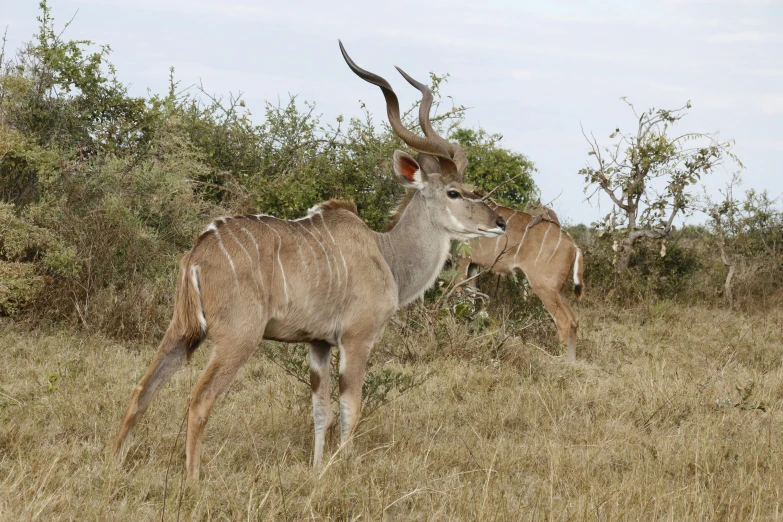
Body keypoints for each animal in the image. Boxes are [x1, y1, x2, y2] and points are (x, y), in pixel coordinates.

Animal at [113, 42, 506, 478]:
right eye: (454, 192)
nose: (500, 222)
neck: (385, 253)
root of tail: (198, 253)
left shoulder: (318, 344)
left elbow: (320, 409)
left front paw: (318, 469)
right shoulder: (356, 338)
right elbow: (351, 407)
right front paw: (344, 468)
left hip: (182, 332)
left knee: (141, 389)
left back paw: (113, 465)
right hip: (237, 338)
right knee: (199, 400)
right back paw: (193, 478)